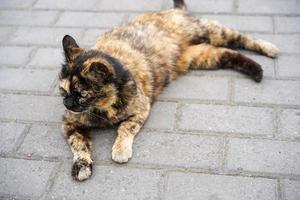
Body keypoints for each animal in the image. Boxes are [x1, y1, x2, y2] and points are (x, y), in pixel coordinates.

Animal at [58, 0, 278, 181]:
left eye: (82, 95)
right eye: (63, 91)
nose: (66, 103)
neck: (102, 110)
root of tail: (174, 10)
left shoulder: (141, 109)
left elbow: (125, 128)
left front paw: (120, 150)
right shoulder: (70, 123)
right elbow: (79, 145)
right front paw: (82, 166)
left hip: (210, 32)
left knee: (240, 38)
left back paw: (270, 49)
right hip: (201, 56)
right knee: (228, 54)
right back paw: (257, 70)